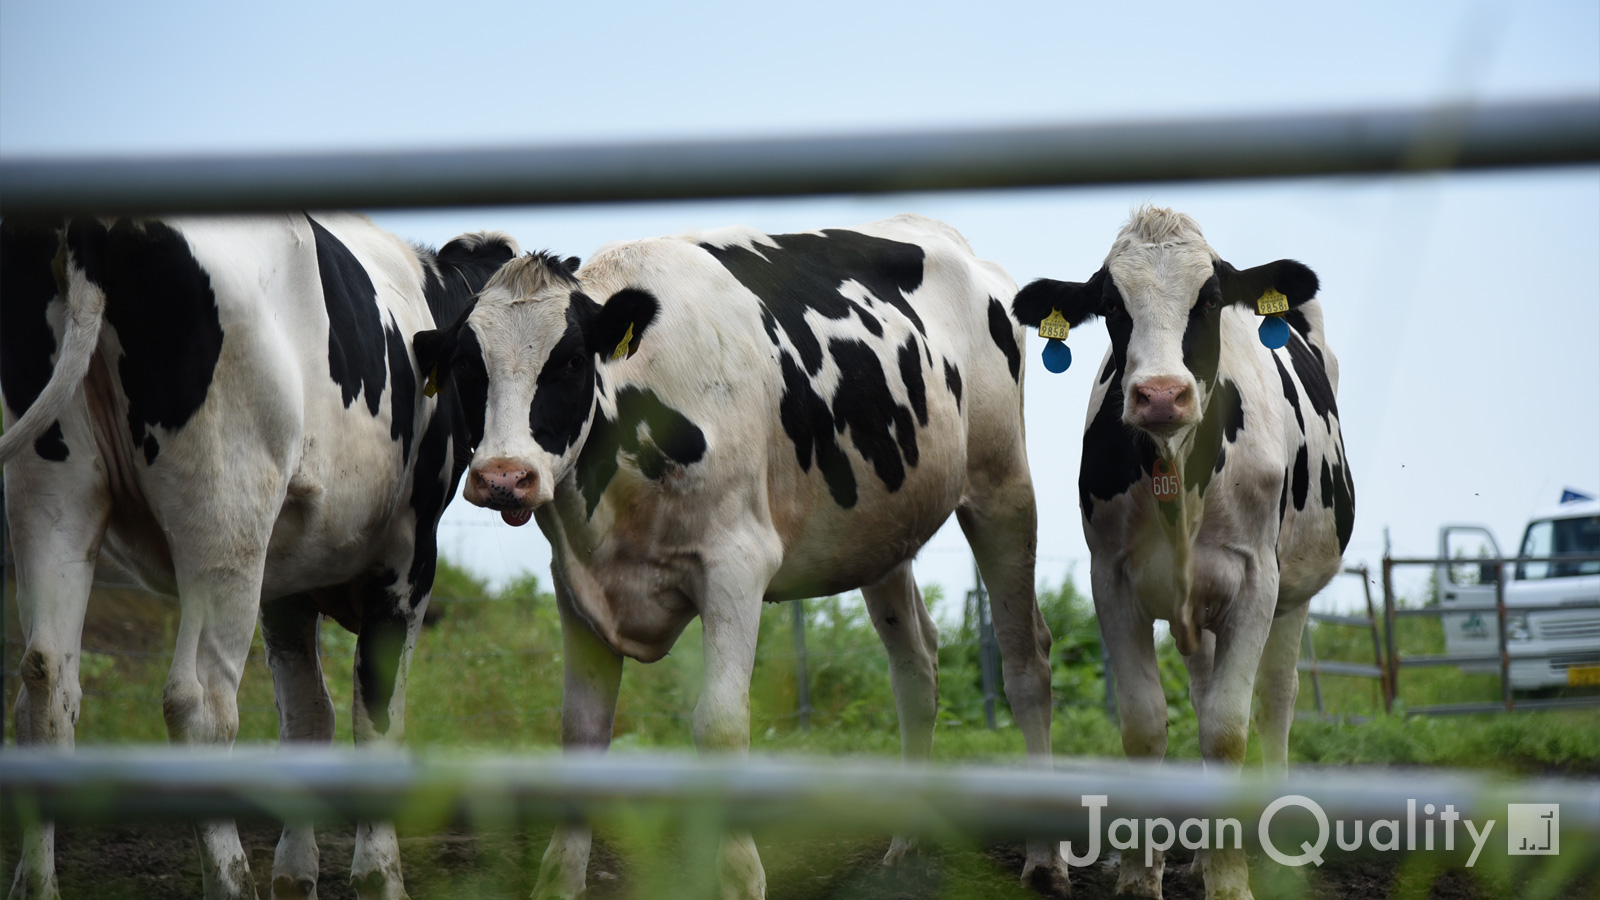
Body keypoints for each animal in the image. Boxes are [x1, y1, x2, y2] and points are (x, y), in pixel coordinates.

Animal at [0, 216, 512, 896]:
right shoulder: (408, 562)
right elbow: (376, 718)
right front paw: (380, 876)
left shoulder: (287, 583)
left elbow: (308, 718)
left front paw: (297, 876)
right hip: (226, 512)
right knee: (199, 704)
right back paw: (232, 878)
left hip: (53, 495)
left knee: (45, 687)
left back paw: (37, 883)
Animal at [412, 211, 1062, 896]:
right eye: (468, 365)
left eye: (568, 362)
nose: (504, 478)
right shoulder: (579, 586)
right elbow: (580, 735)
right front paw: (558, 881)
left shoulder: (735, 565)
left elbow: (721, 727)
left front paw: (742, 877)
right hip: (884, 531)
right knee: (917, 668)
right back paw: (906, 846)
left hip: (1001, 487)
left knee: (1027, 661)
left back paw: (1045, 856)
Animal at [1011, 208, 1350, 896]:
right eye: (1113, 304)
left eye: (1211, 298)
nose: (1162, 395)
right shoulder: (1112, 581)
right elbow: (1146, 725)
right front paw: (1142, 875)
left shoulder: (1256, 582)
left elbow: (1226, 729)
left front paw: (1232, 880)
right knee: (1202, 690)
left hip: (1295, 592)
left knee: (1277, 698)